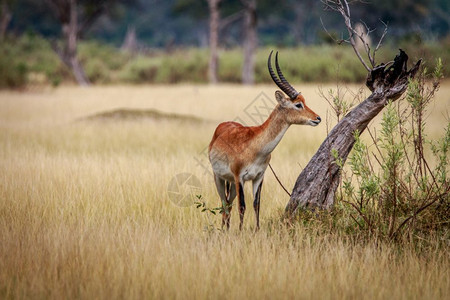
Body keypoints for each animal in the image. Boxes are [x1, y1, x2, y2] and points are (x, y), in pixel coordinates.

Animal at [209, 51, 322, 230]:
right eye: (298, 104)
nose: (317, 118)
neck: (255, 146)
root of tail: (221, 127)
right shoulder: (240, 177)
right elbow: (243, 206)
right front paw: (240, 232)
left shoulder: (259, 176)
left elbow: (256, 204)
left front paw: (256, 230)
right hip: (220, 178)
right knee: (225, 204)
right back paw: (225, 230)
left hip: (231, 183)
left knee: (228, 204)